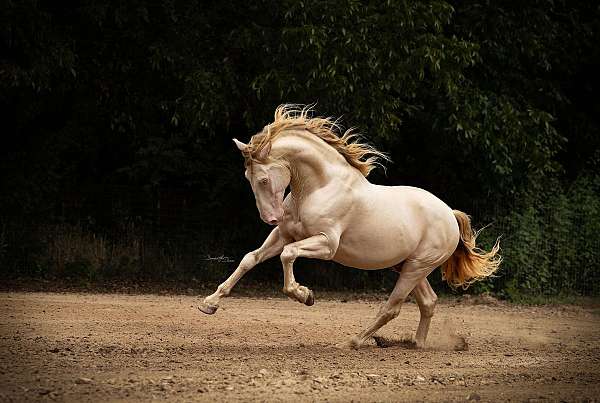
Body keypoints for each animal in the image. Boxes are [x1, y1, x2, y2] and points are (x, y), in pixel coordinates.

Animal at [199, 105, 500, 350]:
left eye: (262, 179)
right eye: (247, 177)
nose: (269, 218)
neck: (319, 187)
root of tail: (450, 214)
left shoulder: (326, 244)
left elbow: (288, 255)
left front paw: (304, 295)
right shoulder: (283, 234)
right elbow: (249, 259)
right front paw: (209, 304)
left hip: (417, 267)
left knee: (392, 307)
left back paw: (355, 341)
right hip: (407, 266)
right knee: (428, 302)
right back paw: (416, 344)